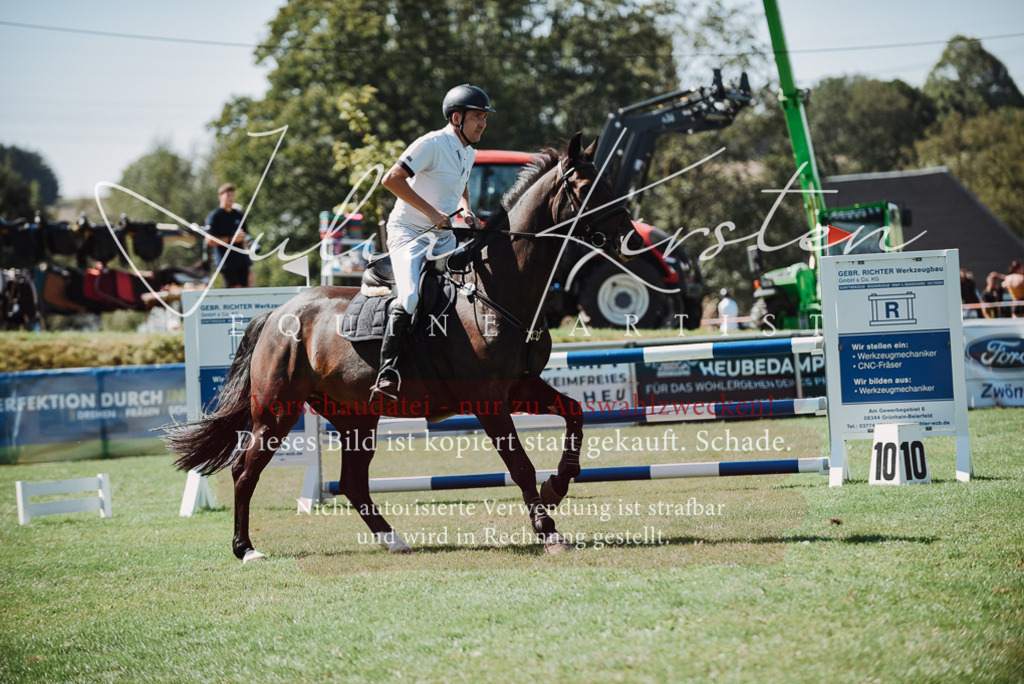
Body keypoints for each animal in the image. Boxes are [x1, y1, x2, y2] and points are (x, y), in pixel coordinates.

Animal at [163, 132, 634, 560]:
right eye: (587, 188)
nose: (629, 238)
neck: (498, 287)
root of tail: (279, 314)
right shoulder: (488, 401)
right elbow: (519, 464)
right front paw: (548, 531)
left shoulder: (520, 387)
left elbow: (575, 414)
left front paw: (557, 486)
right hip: (276, 412)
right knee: (245, 472)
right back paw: (245, 549)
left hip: (356, 417)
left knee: (352, 482)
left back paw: (393, 540)